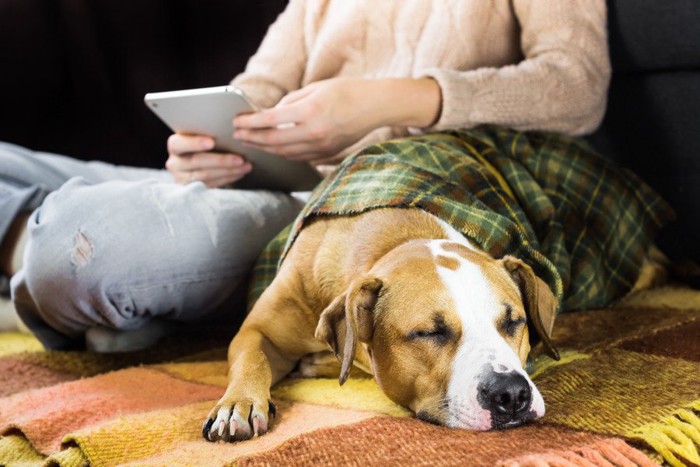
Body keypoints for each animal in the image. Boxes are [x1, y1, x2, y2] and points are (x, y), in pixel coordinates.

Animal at [202, 208, 564, 442]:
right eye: (429, 333)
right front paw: (238, 404)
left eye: (514, 322)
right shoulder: (257, 332)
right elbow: (252, 359)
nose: (512, 393)